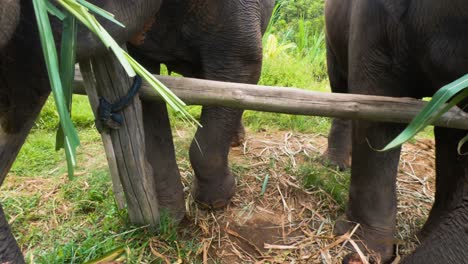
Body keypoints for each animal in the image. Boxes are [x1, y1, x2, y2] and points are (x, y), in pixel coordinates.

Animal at [324, 0, 468, 262]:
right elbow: (377, 109)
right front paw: (361, 248)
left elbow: (455, 136)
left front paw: (424, 237)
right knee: (340, 86)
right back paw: (334, 165)